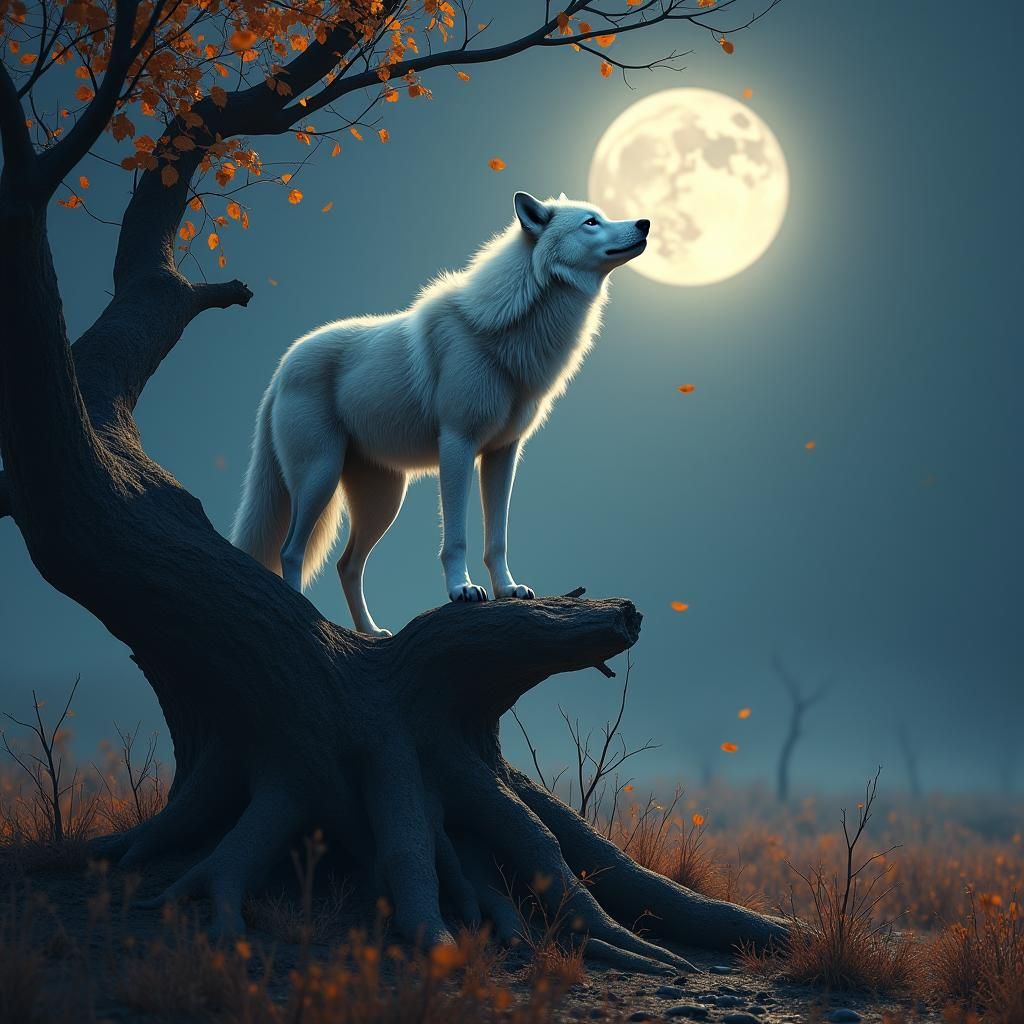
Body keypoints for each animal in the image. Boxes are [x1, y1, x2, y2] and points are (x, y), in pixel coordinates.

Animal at [230, 191, 650, 636]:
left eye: (602, 217)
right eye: (591, 222)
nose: (644, 223)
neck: (508, 334)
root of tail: (281, 369)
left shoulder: (503, 453)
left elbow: (497, 538)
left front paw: (507, 589)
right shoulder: (457, 444)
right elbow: (457, 538)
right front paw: (461, 590)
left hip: (383, 501)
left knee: (347, 565)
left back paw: (371, 632)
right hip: (320, 478)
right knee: (290, 551)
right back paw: (303, 612)